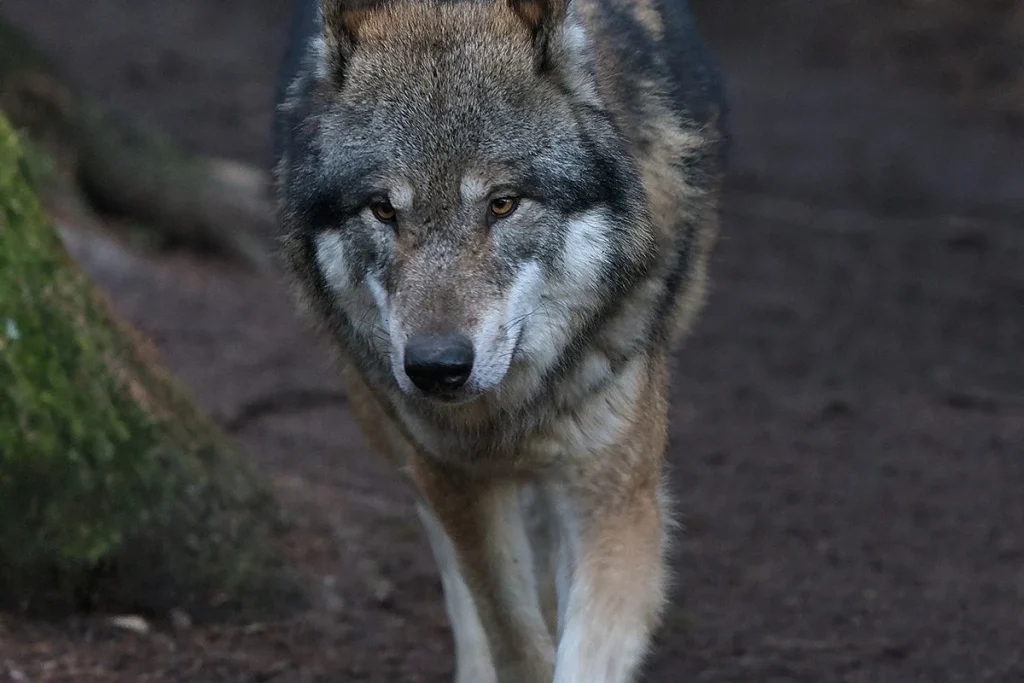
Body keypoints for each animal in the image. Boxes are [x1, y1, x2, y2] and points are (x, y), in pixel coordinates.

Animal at [271, 0, 728, 680]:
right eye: (383, 209)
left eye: (503, 203)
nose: (437, 367)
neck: (510, 411)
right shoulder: (455, 475)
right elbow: (509, 627)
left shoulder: (617, 501)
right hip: (388, 425)